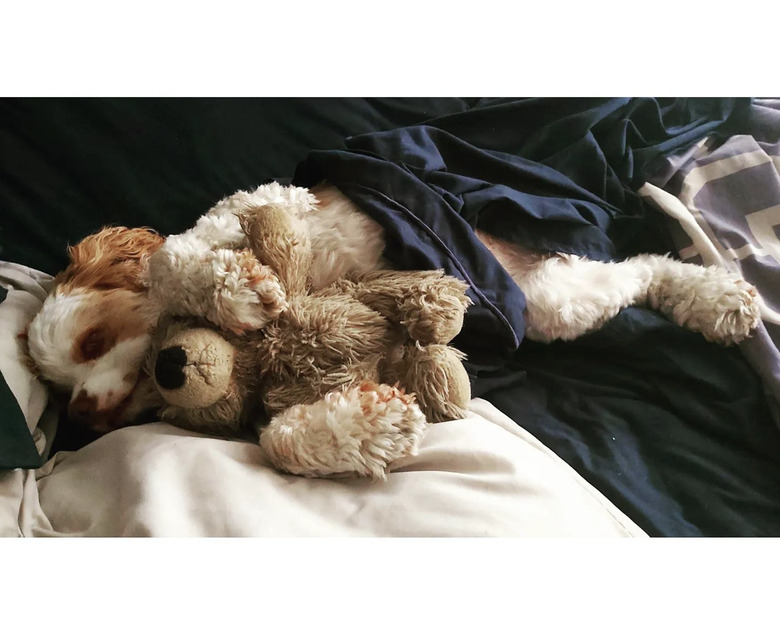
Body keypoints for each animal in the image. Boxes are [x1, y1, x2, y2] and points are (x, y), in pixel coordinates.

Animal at [24, 182, 760, 434]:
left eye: (93, 342)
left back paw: (723, 299)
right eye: (58, 391)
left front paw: (233, 289)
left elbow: (174, 258)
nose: (83, 416)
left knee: (647, 270)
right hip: (553, 296)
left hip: (551, 299)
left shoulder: (266, 208)